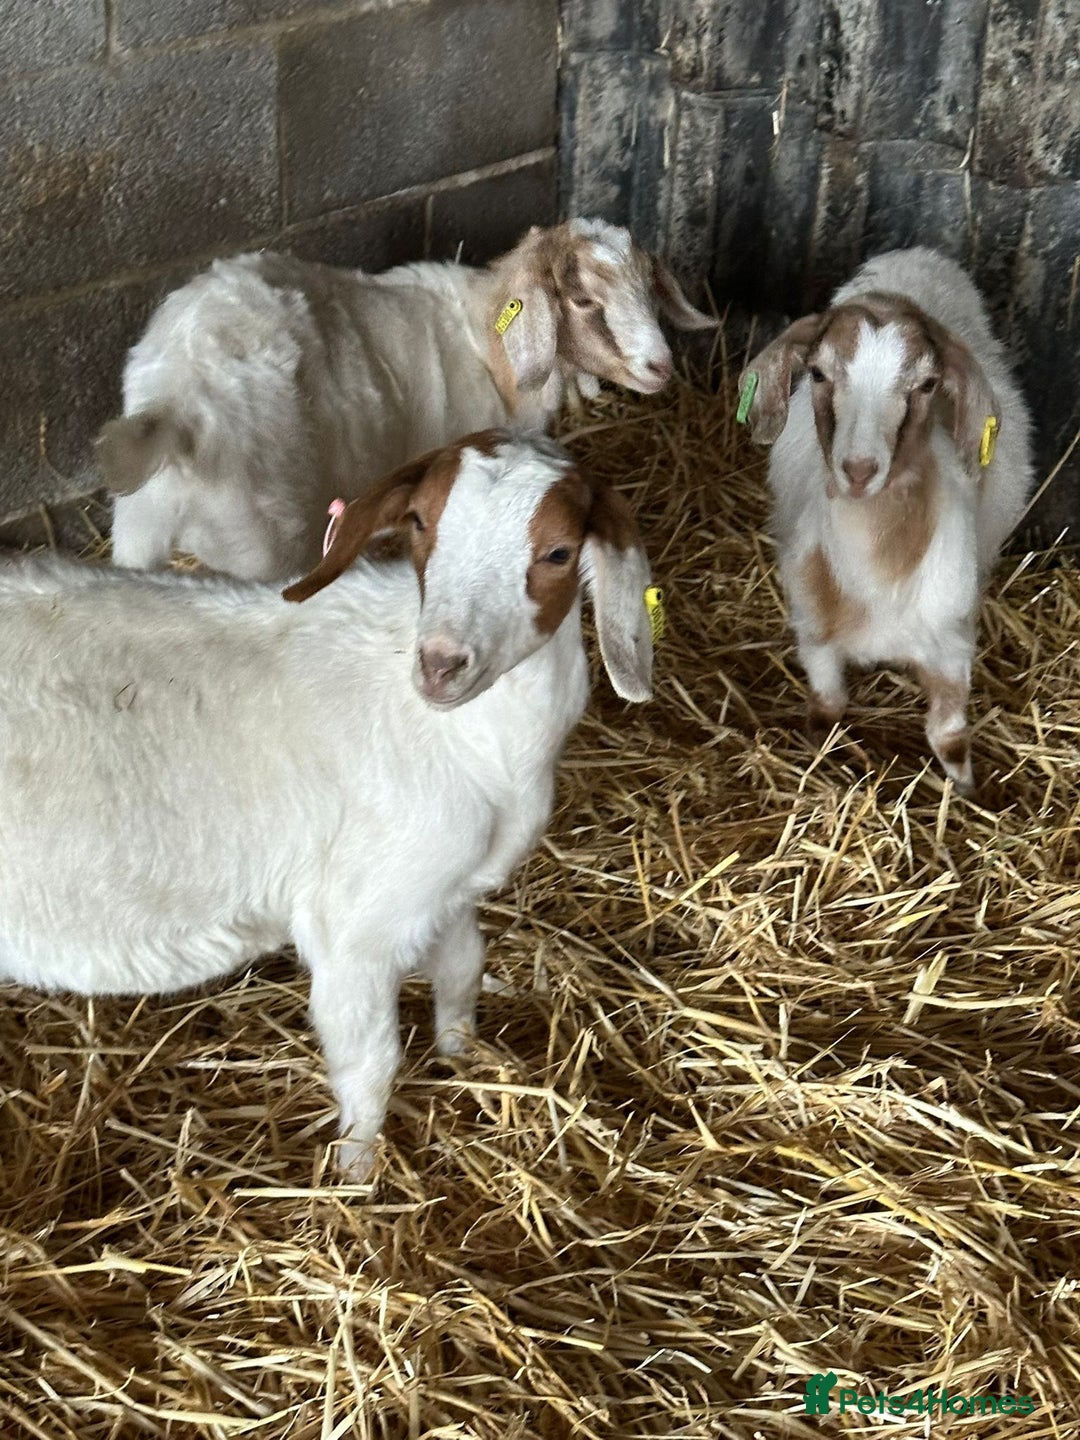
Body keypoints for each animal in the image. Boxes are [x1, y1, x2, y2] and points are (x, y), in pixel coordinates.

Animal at [0, 430, 654, 1177]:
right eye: (422, 521)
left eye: (559, 552)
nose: (440, 664)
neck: (467, 737)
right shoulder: (356, 924)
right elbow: (371, 1061)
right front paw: (355, 1173)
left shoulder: (442, 889)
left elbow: (463, 967)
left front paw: (462, 1055)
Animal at [99, 219, 712, 581]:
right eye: (583, 299)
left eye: (649, 288)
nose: (661, 366)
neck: (491, 344)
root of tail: (176, 406)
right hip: (264, 544)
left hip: (136, 532)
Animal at [740, 247, 1033, 793]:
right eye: (817, 374)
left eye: (928, 384)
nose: (858, 470)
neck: (877, 576)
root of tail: (913, 257)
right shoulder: (815, 634)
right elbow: (827, 706)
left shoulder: (951, 643)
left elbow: (949, 736)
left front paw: (969, 793)